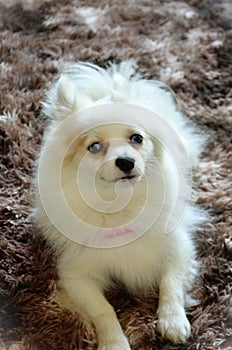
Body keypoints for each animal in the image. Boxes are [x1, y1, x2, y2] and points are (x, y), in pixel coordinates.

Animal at [33, 61, 205, 348]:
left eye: (137, 138)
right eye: (94, 146)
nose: (126, 161)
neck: (119, 207)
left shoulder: (180, 248)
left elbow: (170, 282)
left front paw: (173, 321)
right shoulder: (75, 275)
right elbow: (103, 310)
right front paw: (113, 342)